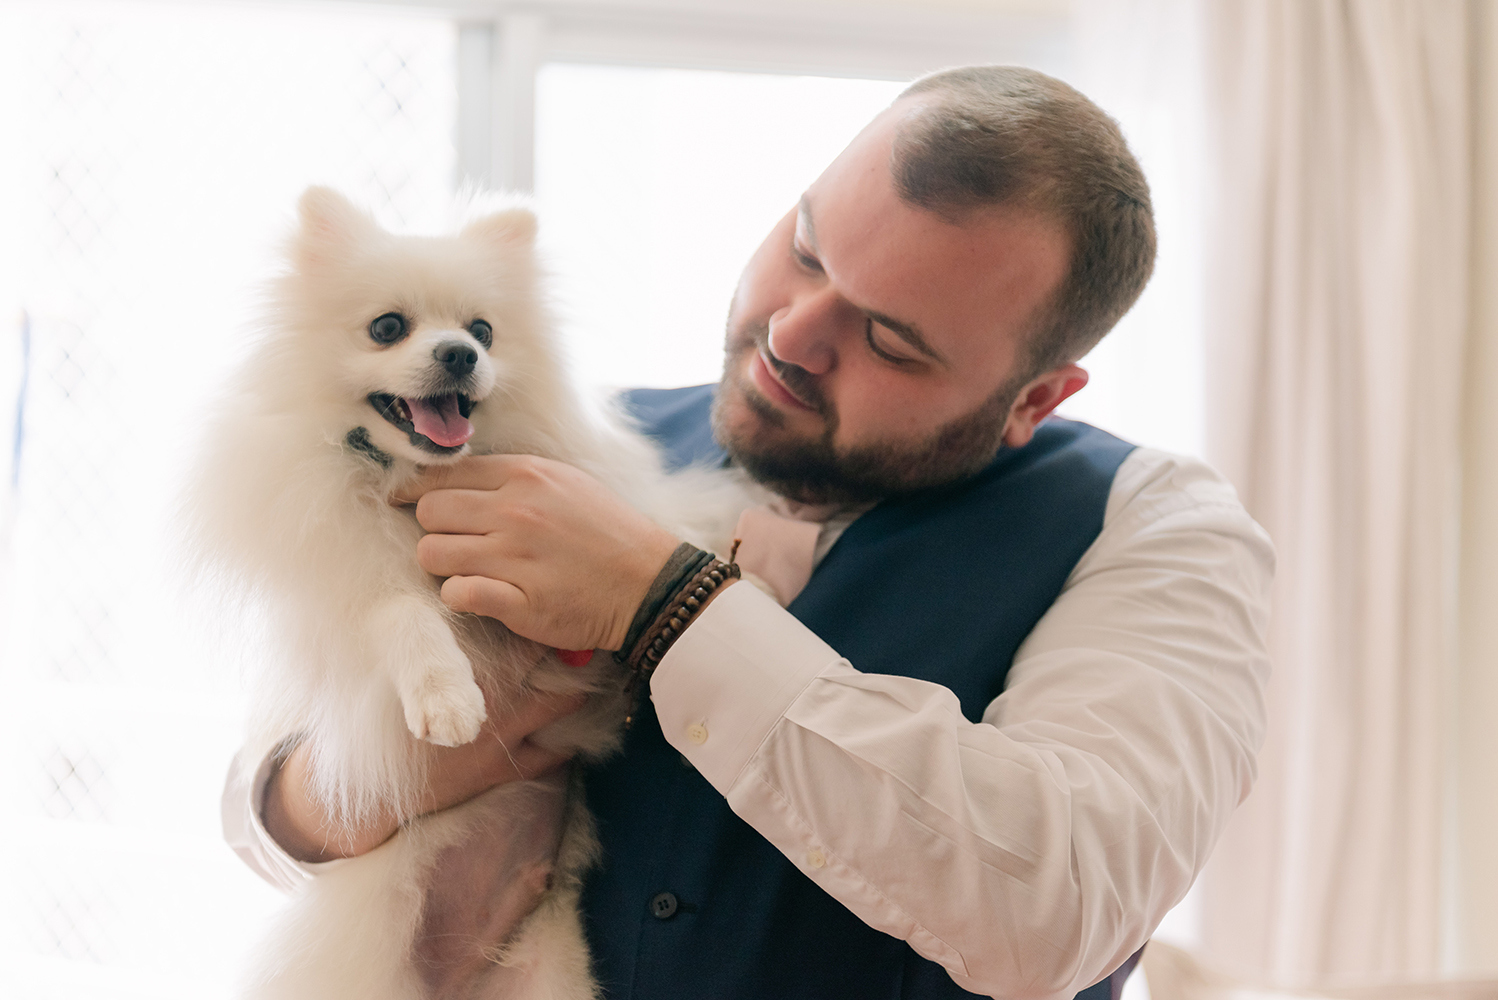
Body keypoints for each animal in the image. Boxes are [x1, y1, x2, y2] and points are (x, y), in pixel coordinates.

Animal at [190, 189, 746, 999]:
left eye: (483, 330)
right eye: (388, 327)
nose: (460, 353)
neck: (419, 482)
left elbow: (659, 529)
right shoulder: (348, 591)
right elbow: (401, 610)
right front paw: (445, 696)